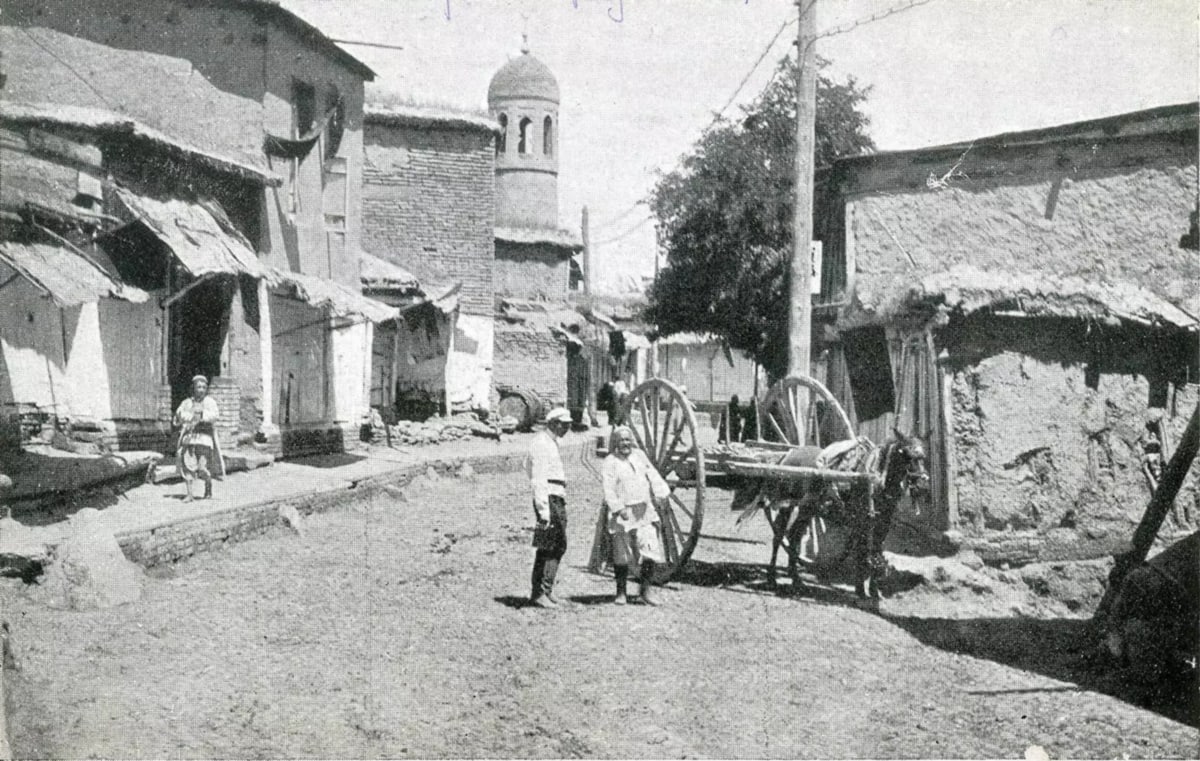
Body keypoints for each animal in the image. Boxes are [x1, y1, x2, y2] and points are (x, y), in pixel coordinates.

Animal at [734, 429, 931, 595]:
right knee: (779, 536)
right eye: (905, 454)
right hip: (786, 505)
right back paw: (773, 578)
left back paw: (795, 578)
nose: (922, 485)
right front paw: (861, 590)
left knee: (793, 536)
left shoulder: (883, 522)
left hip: (807, 508)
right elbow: (862, 552)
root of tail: (786, 456)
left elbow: (876, 551)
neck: (875, 478)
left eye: (923, 456)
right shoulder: (862, 520)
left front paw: (874, 591)